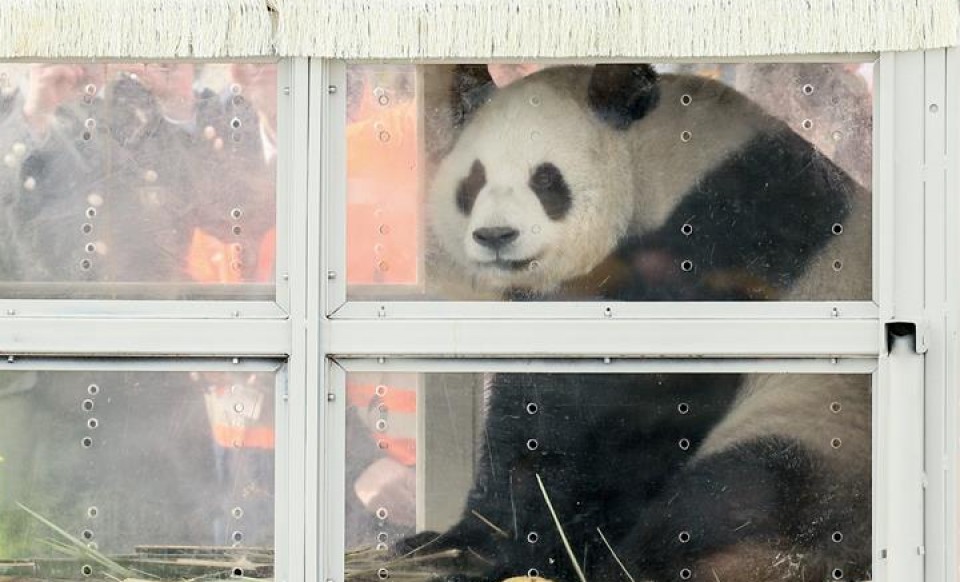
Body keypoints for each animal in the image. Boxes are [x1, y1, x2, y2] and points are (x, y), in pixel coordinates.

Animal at [394, 65, 872, 582]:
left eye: (546, 179)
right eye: (474, 180)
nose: (496, 235)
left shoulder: (725, 238)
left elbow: (624, 418)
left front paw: (521, 551)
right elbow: (530, 408)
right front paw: (454, 541)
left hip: (816, 440)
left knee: (735, 496)